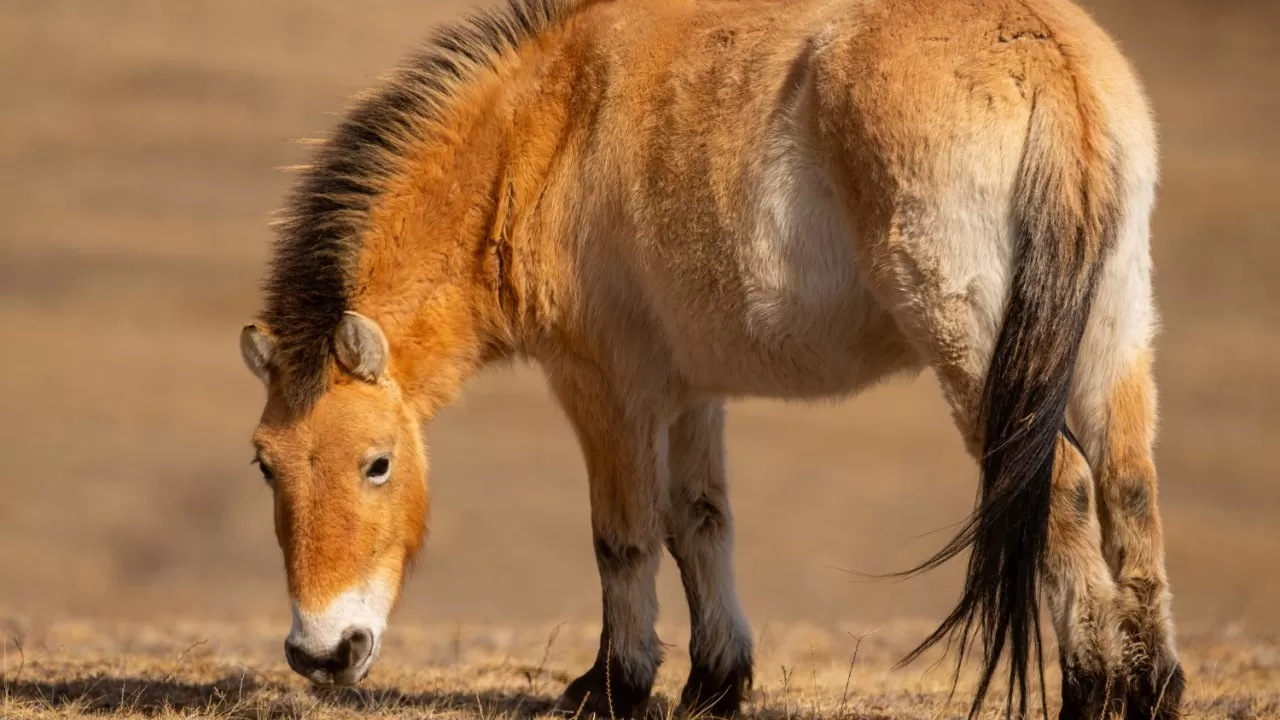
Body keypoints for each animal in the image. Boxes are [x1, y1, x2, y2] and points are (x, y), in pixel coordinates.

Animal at [238, 0, 1177, 712]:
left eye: (378, 463)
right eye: (265, 467)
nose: (322, 652)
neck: (544, 132)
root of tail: (1047, 59)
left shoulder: (605, 389)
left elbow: (623, 537)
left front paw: (612, 687)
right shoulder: (690, 393)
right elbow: (700, 524)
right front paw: (716, 683)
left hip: (980, 356)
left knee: (1062, 487)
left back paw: (1092, 689)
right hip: (1113, 335)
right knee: (1128, 488)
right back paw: (1150, 685)